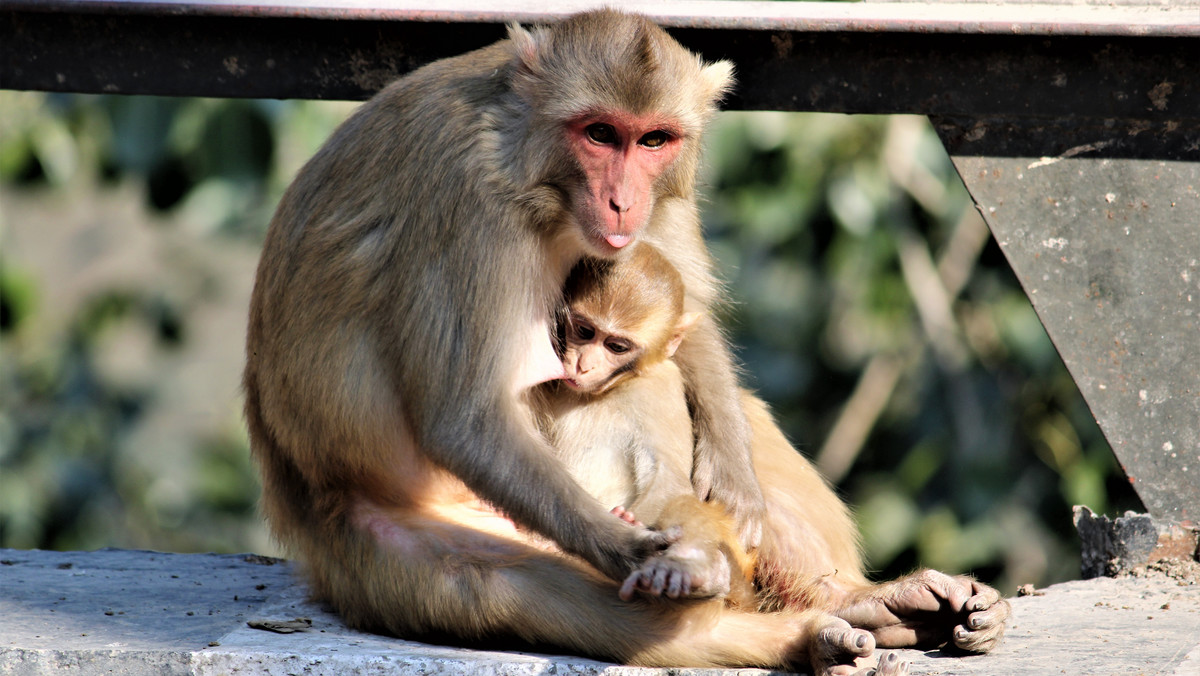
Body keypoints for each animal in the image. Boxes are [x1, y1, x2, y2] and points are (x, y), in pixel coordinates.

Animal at [532, 244, 753, 607]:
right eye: (585, 331)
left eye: (617, 346)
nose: (584, 364)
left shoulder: (659, 389)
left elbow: (669, 479)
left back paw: (692, 569)